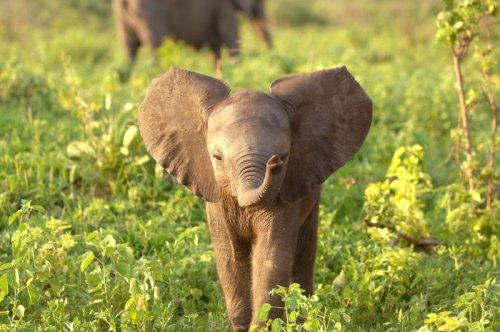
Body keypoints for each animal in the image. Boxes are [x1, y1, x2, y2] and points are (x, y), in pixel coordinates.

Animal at [137, 67, 372, 330]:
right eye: (217, 157)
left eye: (285, 156)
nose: (274, 163)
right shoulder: (217, 200)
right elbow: (230, 256)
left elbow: (271, 255)